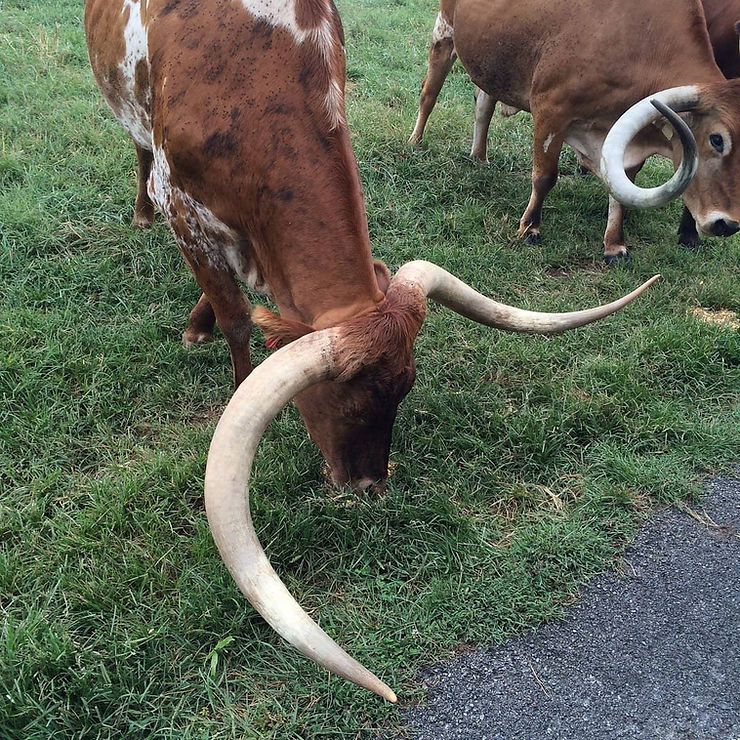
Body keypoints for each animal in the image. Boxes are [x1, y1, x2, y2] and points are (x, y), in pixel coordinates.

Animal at [84, 0, 656, 700]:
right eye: (346, 401)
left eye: (404, 393)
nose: (370, 487)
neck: (254, 72)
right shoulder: (185, 207)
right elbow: (238, 320)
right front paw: (224, 360)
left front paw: (202, 323)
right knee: (141, 152)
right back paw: (142, 216)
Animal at [410, 0, 740, 264]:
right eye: (716, 139)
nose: (728, 224)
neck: (638, 42)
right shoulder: (550, 110)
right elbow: (544, 177)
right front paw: (530, 229)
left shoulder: (624, 139)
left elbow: (620, 192)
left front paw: (614, 245)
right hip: (444, 33)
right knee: (429, 93)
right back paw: (416, 142)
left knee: (483, 103)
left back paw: (479, 156)